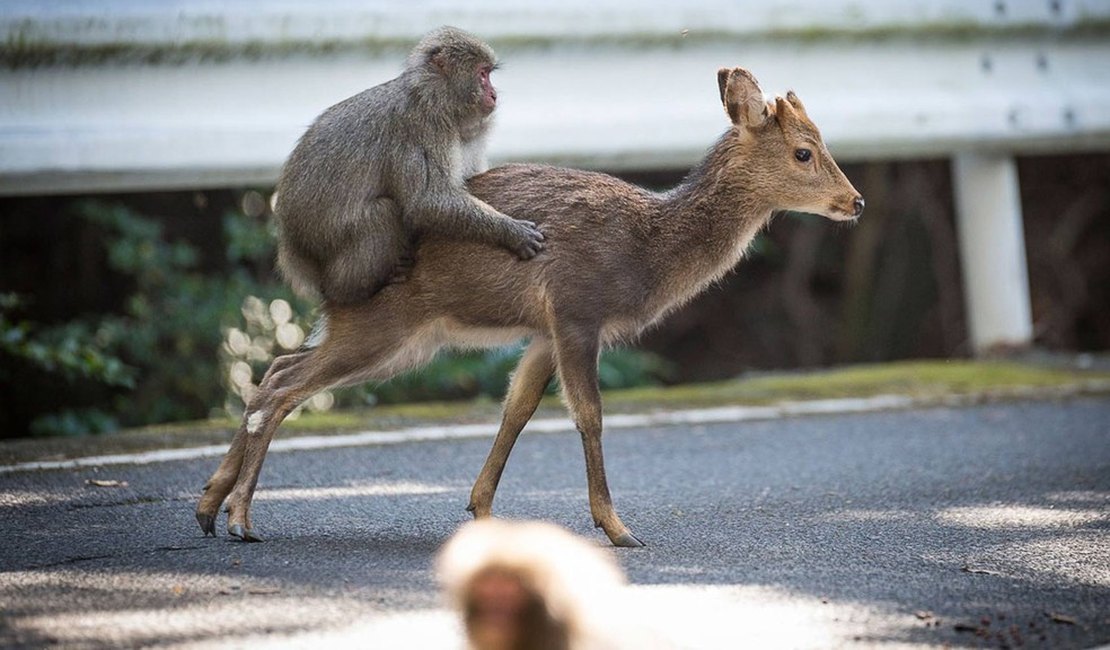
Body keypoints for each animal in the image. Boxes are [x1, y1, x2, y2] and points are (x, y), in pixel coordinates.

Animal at [195, 65, 861, 543]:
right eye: (804, 152)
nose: (854, 201)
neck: (646, 249)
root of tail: (324, 276)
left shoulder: (543, 330)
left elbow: (515, 408)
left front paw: (482, 511)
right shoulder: (576, 308)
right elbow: (588, 414)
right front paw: (618, 529)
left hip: (397, 339)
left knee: (275, 370)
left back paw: (208, 506)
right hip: (384, 325)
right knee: (282, 386)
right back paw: (241, 519)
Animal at [273, 25, 541, 303]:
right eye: (483, 74)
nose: (493, 94)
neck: (433, 98)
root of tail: (292, 248)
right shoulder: (421, 128)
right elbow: (427, 201)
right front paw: (511, 232)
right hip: (325, 243)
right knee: (382, 213)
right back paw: (352, 290)